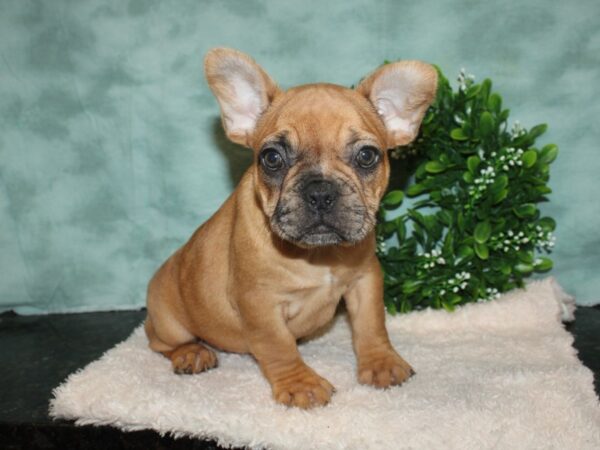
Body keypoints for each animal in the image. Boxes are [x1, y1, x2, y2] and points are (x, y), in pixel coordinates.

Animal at [145, 48, 436, 408]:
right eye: (271, 158)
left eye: (368, 156)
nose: (321, 192)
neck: (319, 255)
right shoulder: (259, 303)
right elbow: (278, 346)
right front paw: (301, 384)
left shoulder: (365, 280)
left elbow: (371, 324)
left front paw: (381, 362)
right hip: (169, 320)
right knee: (159, 340)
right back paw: (191, 353)